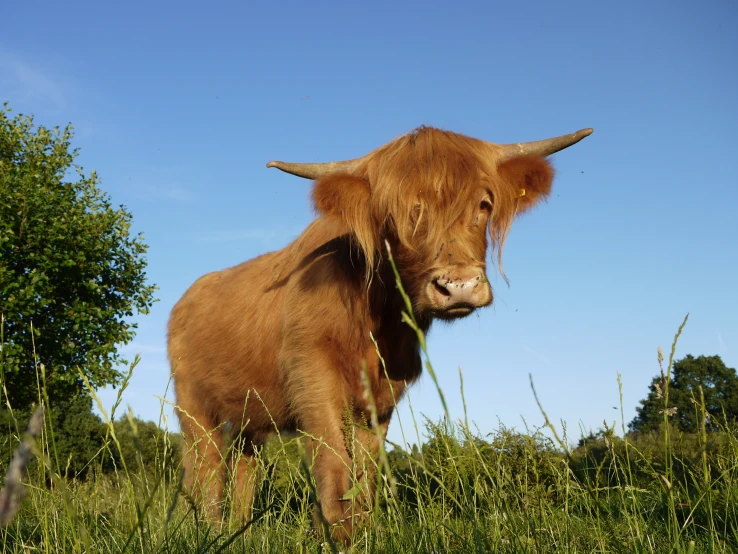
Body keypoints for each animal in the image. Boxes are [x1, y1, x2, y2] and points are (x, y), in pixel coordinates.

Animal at [165, 124, 588, 540]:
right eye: (396, 215)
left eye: (483, 205)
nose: (459, 286)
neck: (376, 322)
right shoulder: (312, 376)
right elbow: (334, 462)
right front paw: (337, 534)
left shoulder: (382, 397)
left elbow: (365, 473)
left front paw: (360, 530)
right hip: (192, 404)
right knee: (202, 466)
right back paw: (205, 528)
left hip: (247, 416)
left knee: (242, 465)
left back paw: (240, 531)